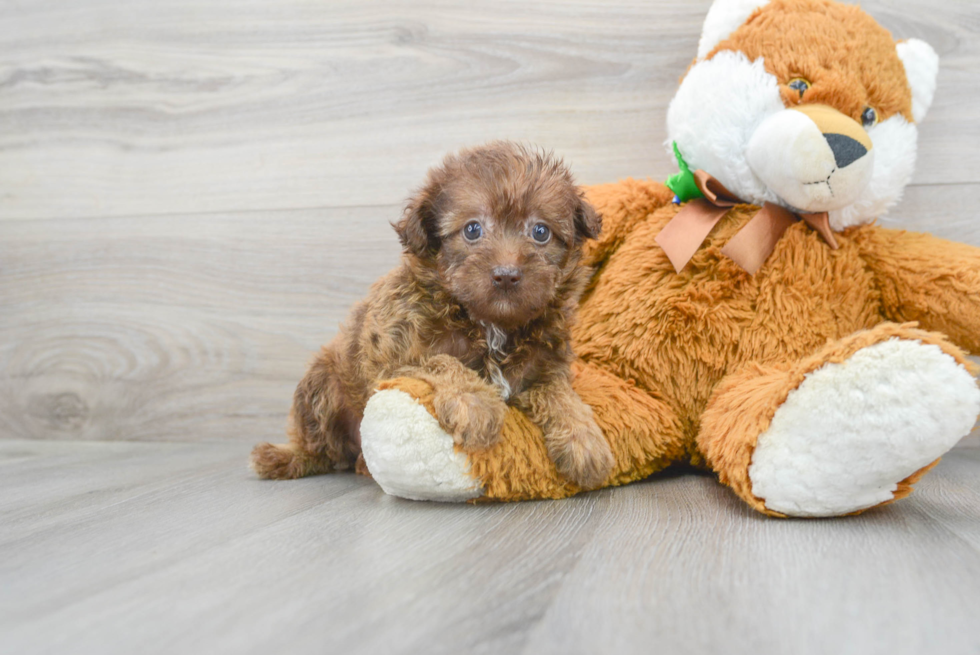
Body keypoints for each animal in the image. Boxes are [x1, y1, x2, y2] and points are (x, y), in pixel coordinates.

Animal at [251, 141, 612, 490]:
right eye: (472, 230)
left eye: (540, 232)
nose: (507, 275)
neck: (490, 325)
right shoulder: (394, 358)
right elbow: (442, 361)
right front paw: (475, 404)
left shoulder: (545, 368)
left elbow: (558, 393)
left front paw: (584, 439)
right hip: (321, 386)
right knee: (320, 449)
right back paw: (285, 457)